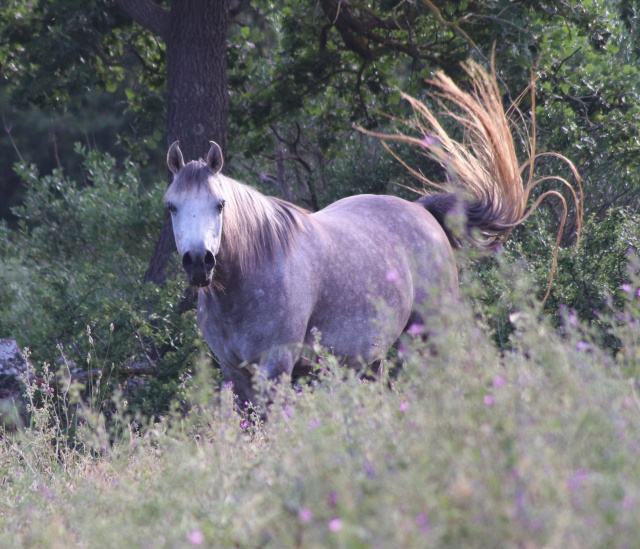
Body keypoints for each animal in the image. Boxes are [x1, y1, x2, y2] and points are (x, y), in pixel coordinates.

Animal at [162, 63, 576, 406]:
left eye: (219, 204)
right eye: (171, 206)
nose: (199, 262)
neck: (245, 283)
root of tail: (422, 210)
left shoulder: (276, 365)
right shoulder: (235, 372)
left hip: (430, 332)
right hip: (371, 356)